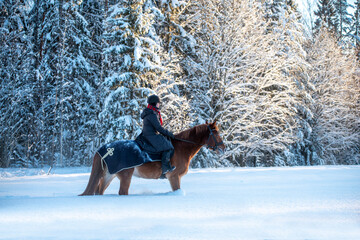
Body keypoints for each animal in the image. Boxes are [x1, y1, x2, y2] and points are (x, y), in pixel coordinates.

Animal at [80, 120, 224, 195]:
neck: (182, 147)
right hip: (125, 176)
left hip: (109, 175)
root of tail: (104, 150)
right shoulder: (174, 176)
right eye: (216, 132)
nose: (223, 148)